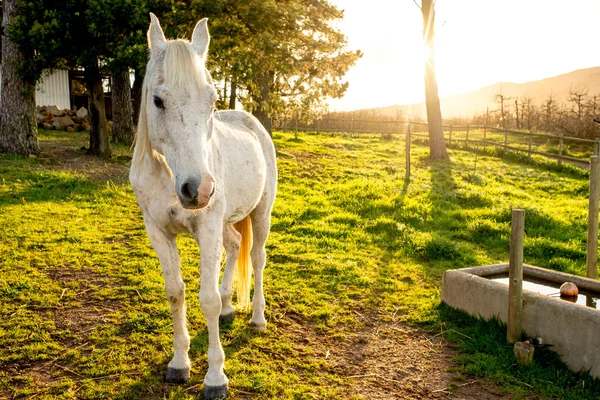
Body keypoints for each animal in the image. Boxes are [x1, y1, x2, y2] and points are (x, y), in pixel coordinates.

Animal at [130, 13, 278, 400]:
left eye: (211, 100)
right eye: (157, 100)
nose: (199, 189)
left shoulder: (207, 228)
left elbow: (206, 299)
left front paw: (215, 378)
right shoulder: (158, 232)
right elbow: (175, 293)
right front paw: (179, 363)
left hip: (261, 213)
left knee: (256, 258)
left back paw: (257, 319)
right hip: (226, 222)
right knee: (235, 246)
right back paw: (229, 308)